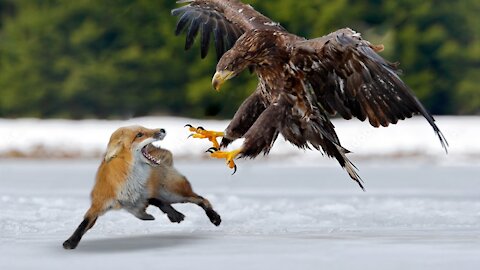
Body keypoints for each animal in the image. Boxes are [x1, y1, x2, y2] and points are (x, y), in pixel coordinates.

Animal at [62, 125, 222, 250]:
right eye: (139, 135)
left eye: (145, 128)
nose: (162, 129)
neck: (130, 181)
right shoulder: (99, 204)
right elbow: (83, 224)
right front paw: (71, 242)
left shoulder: (143, 195)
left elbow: (154, 202)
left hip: (174, 194)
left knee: (201, 199)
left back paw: (214, 218)